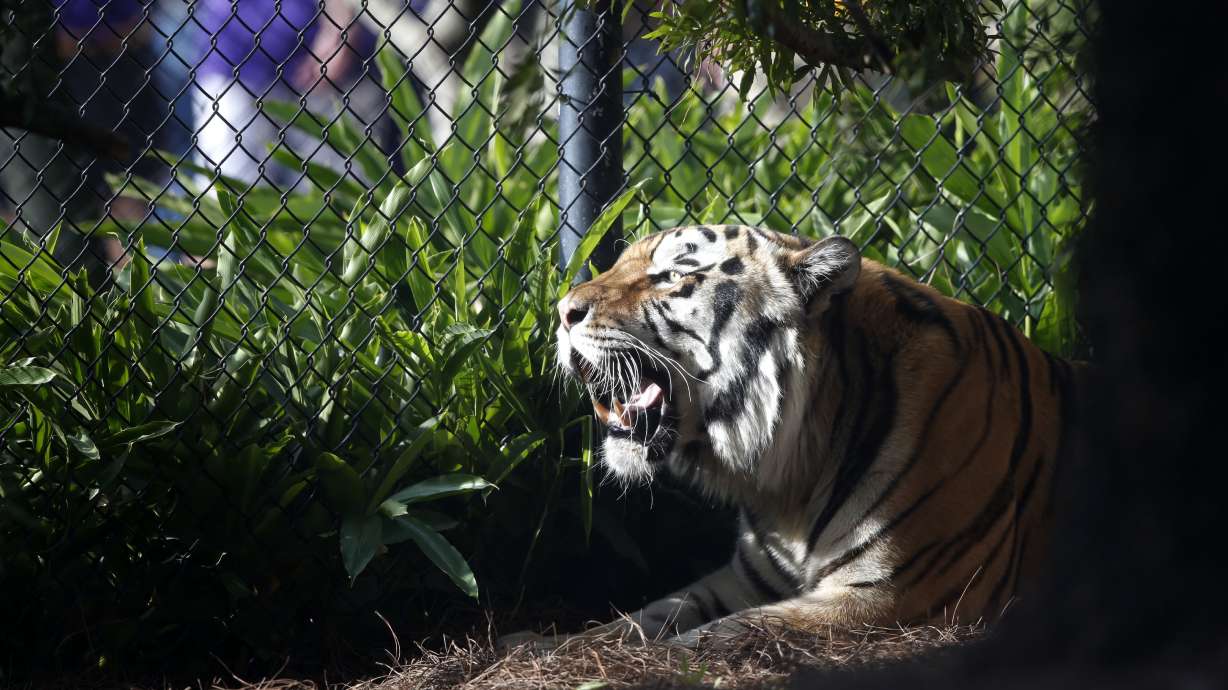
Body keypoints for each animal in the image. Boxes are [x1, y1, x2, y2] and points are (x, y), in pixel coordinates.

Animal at [519, 223, 1080, 647]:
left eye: (675, 275)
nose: (562, 312)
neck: (790, 481)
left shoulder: (892, 597)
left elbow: (723, 633)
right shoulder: (742, 580)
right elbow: (645, 616)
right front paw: (541, 646)